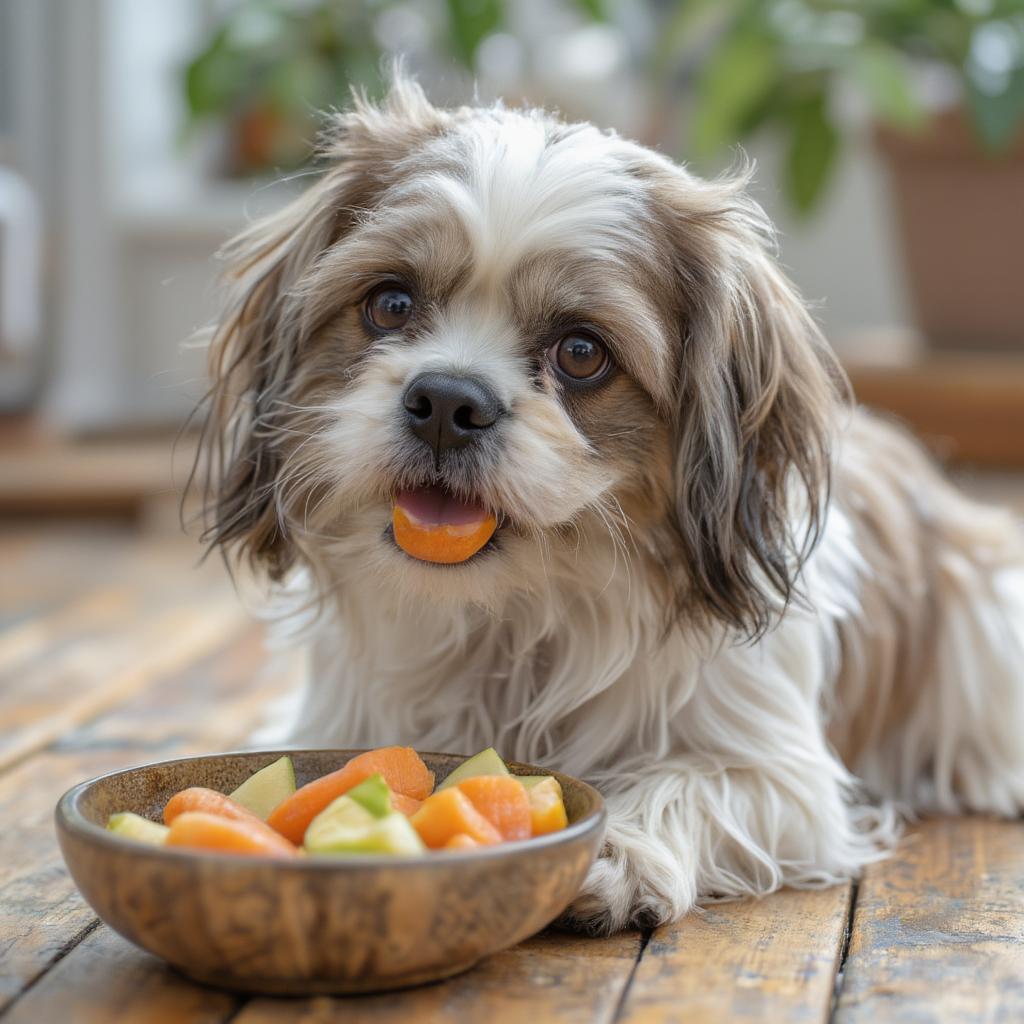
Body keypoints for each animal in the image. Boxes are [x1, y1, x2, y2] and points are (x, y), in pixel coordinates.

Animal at [197, 75, 1024, 933]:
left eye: (581, 352)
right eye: (389, 304)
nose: (448, 400)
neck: (513, 617)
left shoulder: (778, 774)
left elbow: (689, 783)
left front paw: (616, 852)